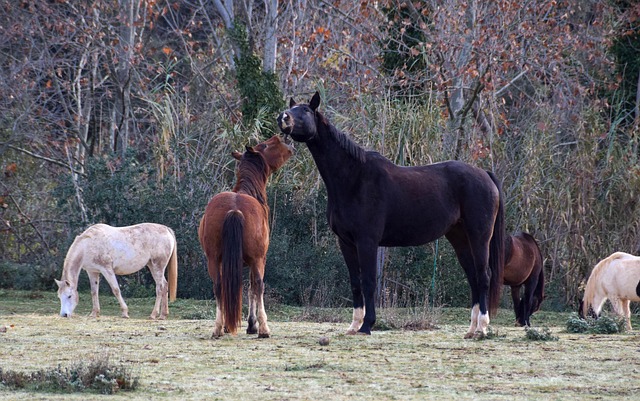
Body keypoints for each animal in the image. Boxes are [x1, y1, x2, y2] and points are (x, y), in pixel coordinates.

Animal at [198, 135, 293, 338]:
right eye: (265, 145)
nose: (281, 137)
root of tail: (234, 209)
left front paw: (229, 325)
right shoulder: (257, 260)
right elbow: (251, 289)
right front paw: (252, 325)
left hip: (213, 259)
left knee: (219, 286)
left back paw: (218, 328)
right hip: (257, 259)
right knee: (258, 285)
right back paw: (263, 329)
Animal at [277, 92, 505, 338]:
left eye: (306, 110)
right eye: (293, 108)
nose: (283, 117)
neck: (354, 178)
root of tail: (485, 175)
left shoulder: (367, 241)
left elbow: (368, 282)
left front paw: (367, 326)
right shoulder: (346, 242)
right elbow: (355, 282)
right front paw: (354, 326)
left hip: (479, 236)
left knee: (483, 276)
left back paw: (482, 327)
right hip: (459, 238)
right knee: (473, 277)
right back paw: (471, 329)